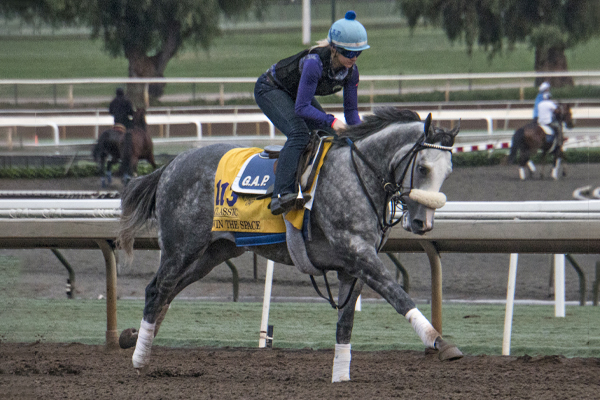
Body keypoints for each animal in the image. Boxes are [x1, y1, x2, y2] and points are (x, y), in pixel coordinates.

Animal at [118, 108, 464, 382]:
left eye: (448, 171)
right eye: (422, 167)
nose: (422, 223)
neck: (359, 173)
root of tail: (170, 165)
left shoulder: (353, 266)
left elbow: (346, 321)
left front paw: (341, 377)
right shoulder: (358, 252)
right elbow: (398, 295)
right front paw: (441, 343)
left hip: (214, 252)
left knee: (170, 291)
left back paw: (134, 339)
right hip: (181, 247)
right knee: (157, 289)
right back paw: (139, 358)